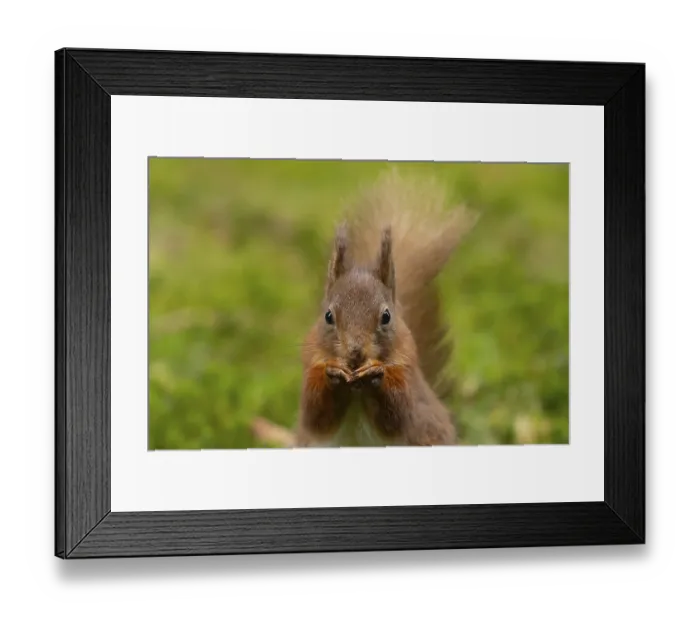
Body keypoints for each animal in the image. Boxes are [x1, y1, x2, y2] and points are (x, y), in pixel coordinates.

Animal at [293, 171, 477, 448]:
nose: (355, 353)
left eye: (386, 316)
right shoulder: (311, 362)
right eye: (328, 316)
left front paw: (375, 374)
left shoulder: (407, 369)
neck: (355, 386)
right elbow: (316, 415)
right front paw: (332, 373)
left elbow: (397, 415)